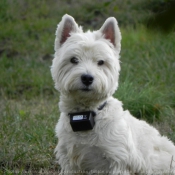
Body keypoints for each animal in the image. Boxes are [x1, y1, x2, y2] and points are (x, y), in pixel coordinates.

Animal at [50, 14, 175, 174]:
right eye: (73, 59)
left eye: (101, 62)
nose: (87, 78)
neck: (88, 114)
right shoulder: (69, 160)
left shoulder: (119, 160)